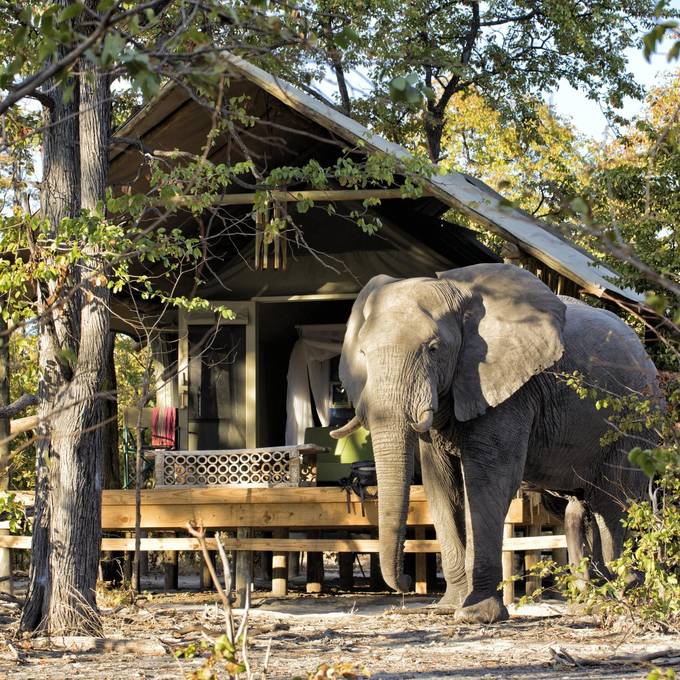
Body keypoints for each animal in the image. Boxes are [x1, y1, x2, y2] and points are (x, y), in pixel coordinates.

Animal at [330, 263, 661, 624]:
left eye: (434, 348)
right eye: (363, 354)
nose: (404, 581)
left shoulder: (510, 390)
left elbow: (488, 479)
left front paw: (475, 614)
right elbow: (440, 483)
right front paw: (449, 607)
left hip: (635, 422)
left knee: (612, 502)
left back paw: (623, 595)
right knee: (580, 505)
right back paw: (593, 599)